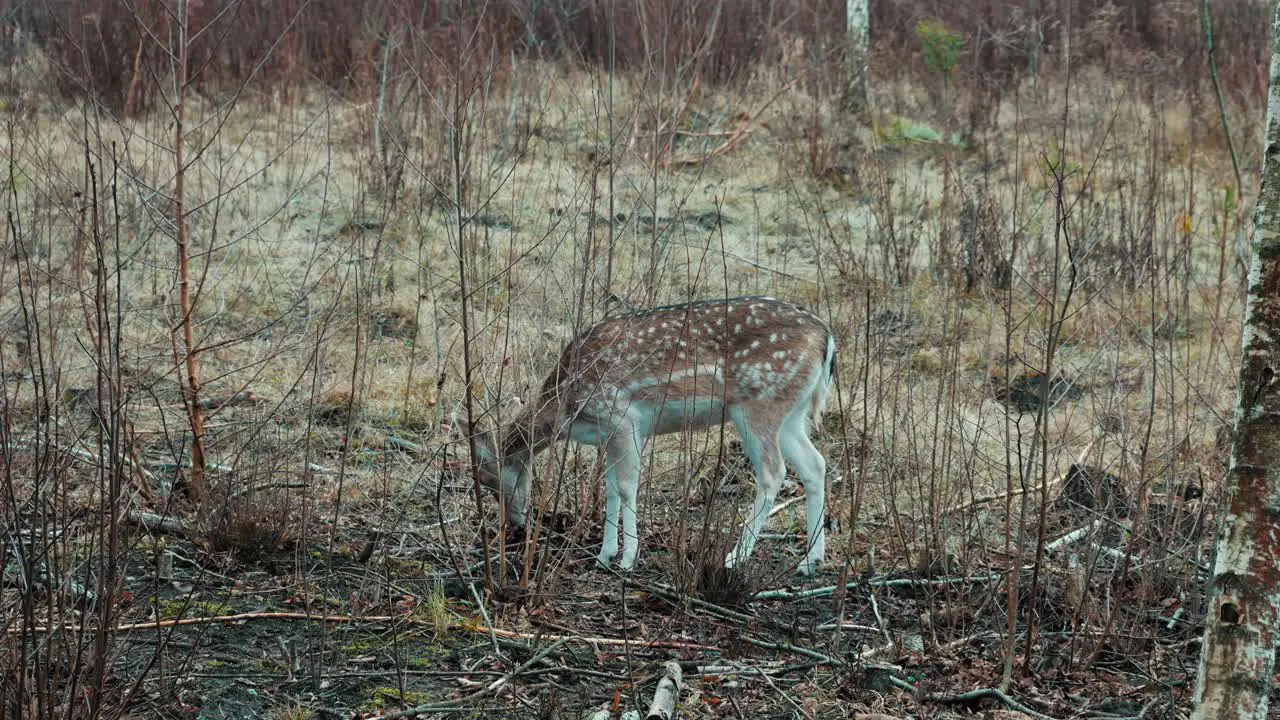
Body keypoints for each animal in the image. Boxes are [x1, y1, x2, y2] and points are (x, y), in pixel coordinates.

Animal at [460, 294, 839, 573]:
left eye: (491, 482)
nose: (515, 528)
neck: (566, 406)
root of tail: (827, 338)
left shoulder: (621, 416)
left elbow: (628, 487)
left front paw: (628, 558)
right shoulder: (611, 435)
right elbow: (611, 489)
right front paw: (604, 555)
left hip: (759, 404)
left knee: (774, 473)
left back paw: (736, 556)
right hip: (793, 413)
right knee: (815, 465)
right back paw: (811, 560)